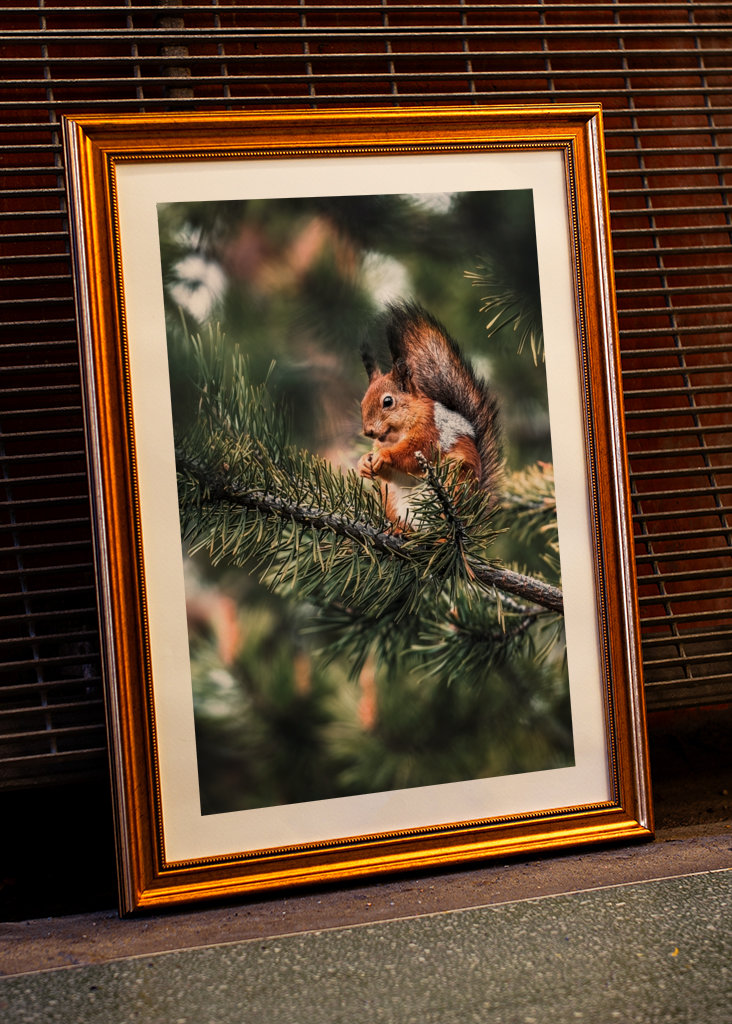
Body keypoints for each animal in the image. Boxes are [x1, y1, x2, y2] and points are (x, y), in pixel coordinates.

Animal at [357, 301, 501, 528]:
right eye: (362, 402)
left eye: (388, 401)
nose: (368, 431)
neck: (395, 435)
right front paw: (363, 462)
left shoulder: (428, 432)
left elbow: (412, 454)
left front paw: (385, 455)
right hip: (391, 499)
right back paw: (398, 532)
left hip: (455, 481)